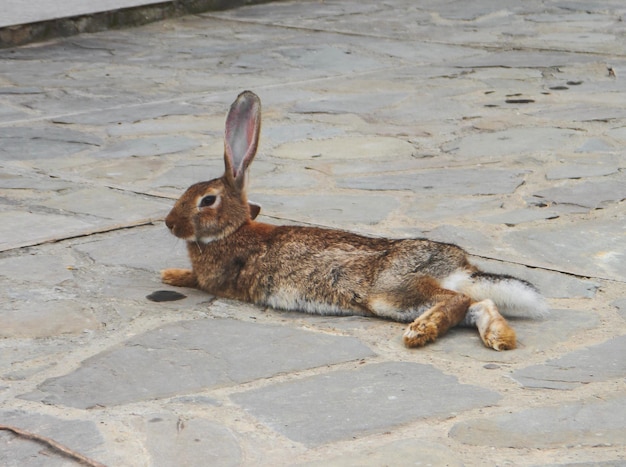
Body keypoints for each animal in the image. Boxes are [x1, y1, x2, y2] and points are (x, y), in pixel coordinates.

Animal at [162, 90, 544, 352]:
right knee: (480, 303)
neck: (232, 231)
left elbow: (197, 280)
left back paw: (419, 333)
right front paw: (169, 273)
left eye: (207, 200)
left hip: (392, 292)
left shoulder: (218, 278)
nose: (169, 224)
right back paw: (499, 337)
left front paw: (172, 275)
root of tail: (460, 266)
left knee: (459, 300)